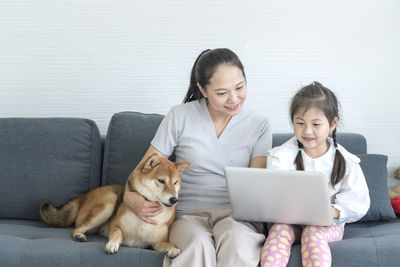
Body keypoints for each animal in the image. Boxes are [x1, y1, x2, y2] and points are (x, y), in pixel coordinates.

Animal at [39, 154, 190, 258]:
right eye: (161, 181)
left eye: (175, 182)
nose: (174, 199)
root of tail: (83, 196)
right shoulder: (116, 225)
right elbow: (117, 233)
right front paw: (112, 243)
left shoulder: (158, 243)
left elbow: (168, 244)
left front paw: (173, 249)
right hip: (108, 203)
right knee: (76, 228)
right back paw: (79, 235)